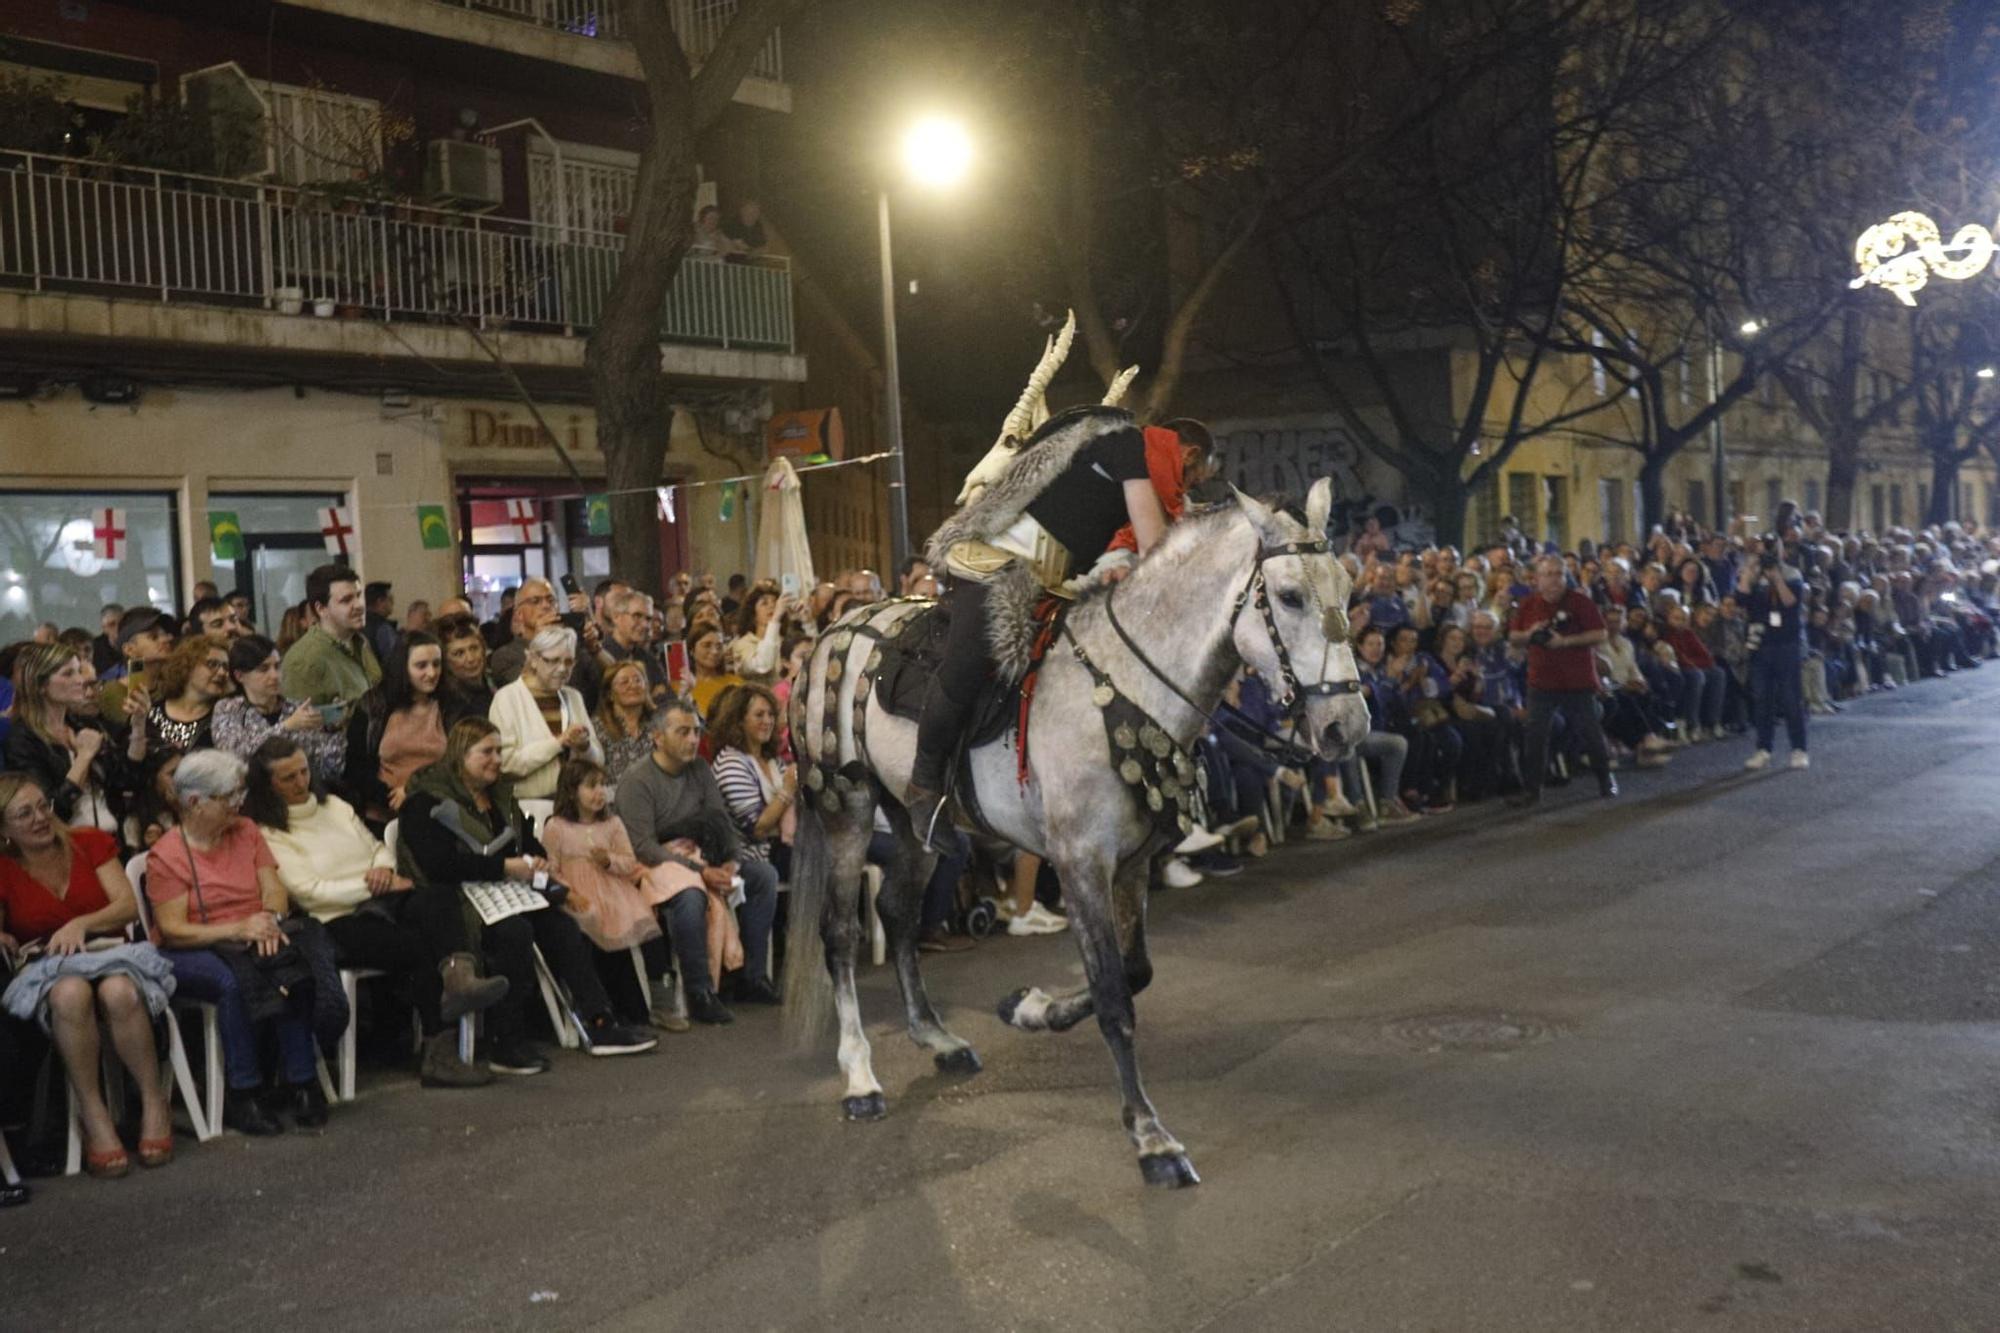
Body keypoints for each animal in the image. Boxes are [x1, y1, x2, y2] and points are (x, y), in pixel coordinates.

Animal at [784, 478, 1376, 1184]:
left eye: (1346, 587)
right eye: (1288, 596)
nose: (1346, 726)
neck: (1126, 686)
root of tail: (831, 633)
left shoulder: (1131, 864)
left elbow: (1134, 971)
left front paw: (1030, 1008)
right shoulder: (1080, 863)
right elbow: (1114, 996)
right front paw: (1151, 1138)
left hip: (912, 820)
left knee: (898, 911)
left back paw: (937, 1037)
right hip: (845, 807)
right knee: (842, 935)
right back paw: (859, 1076)